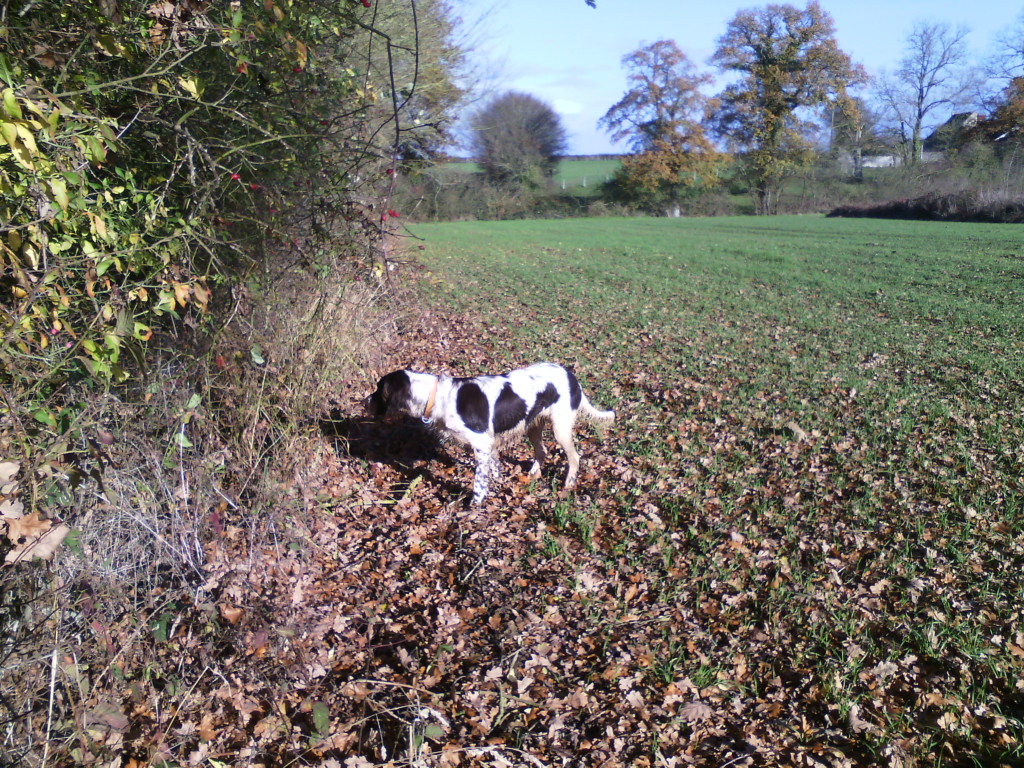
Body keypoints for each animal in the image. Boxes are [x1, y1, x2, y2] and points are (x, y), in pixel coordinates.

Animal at [364, 364, 610, 507]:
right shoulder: (489, 443)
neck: (438, 396)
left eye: (379, 389)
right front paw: (499, 481)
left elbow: (479, 481)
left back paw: (568, 485)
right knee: (542, 451)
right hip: (533, 426)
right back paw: (533, 474)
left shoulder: (481, 444)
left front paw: (475, 504)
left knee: (574, 457)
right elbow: (495, 467)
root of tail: (571, 376)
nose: (364, 401)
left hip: (560, 428)